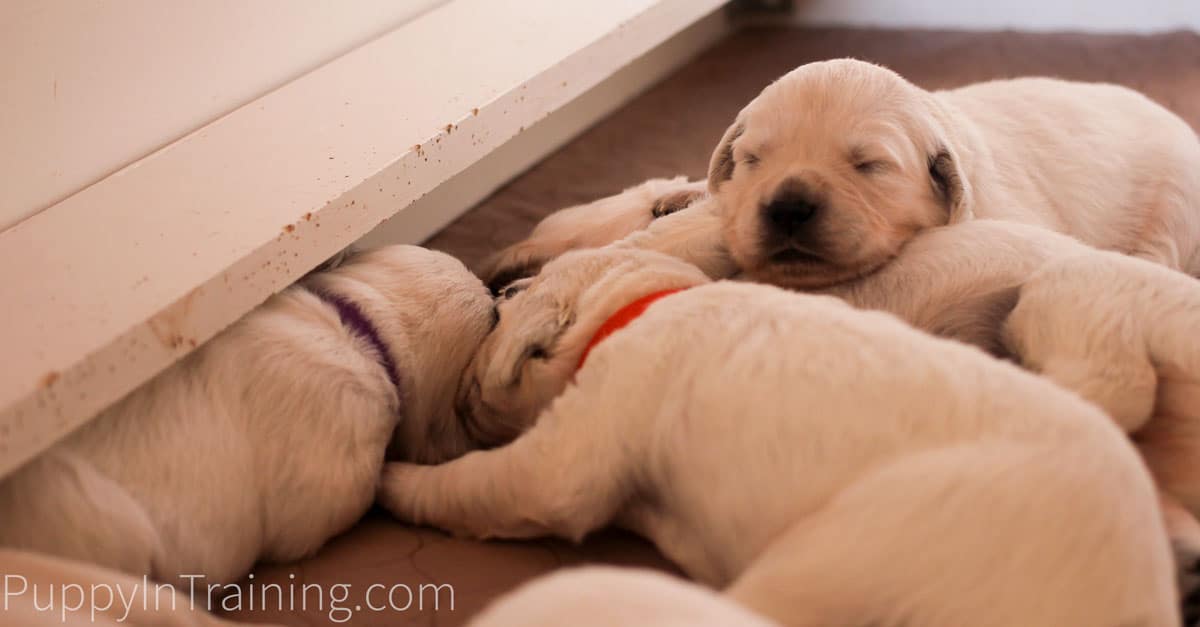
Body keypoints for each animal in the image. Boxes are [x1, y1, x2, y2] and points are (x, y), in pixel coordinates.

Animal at [379, 247, 1176, 624]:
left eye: (510, 302)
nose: (499, 289)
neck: (646, 303)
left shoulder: (581, 439)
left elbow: (491, 483)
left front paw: (393, 478)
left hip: (857, 547)